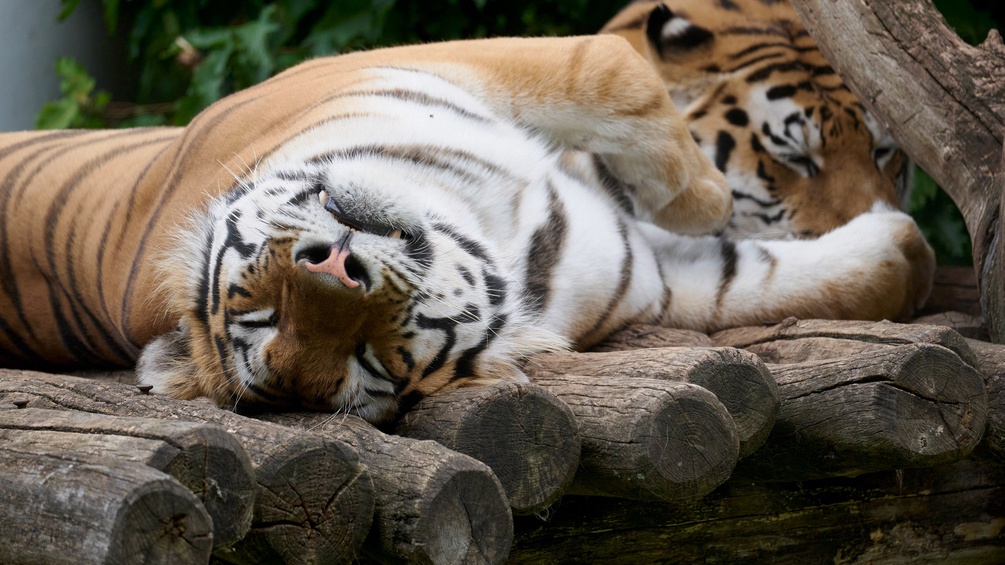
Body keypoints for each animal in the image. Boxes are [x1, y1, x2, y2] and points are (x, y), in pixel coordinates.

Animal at [0, 36, 932, 418]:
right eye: (368, 360)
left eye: (260, 314)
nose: (332, 265)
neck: (494, 225)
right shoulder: (659, 280)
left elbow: (613, 69)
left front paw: (900, 239)